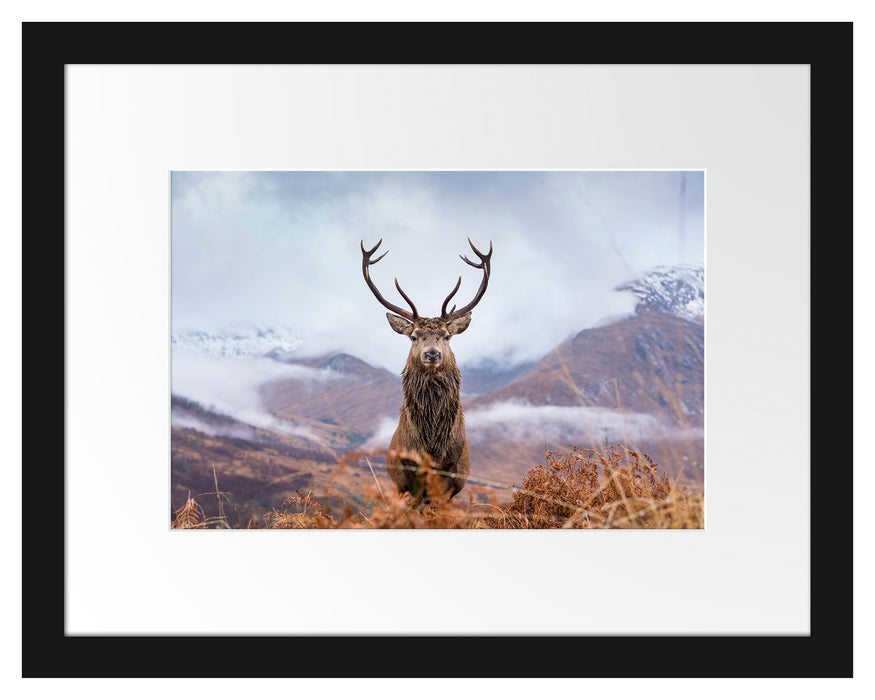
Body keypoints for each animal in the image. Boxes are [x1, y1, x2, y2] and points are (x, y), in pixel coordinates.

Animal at [361, 237, 492, 504]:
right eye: (413, 336)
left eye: (447, 335)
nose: (432, 354)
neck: (432, 445)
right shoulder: (408, 470)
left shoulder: (450, 467)